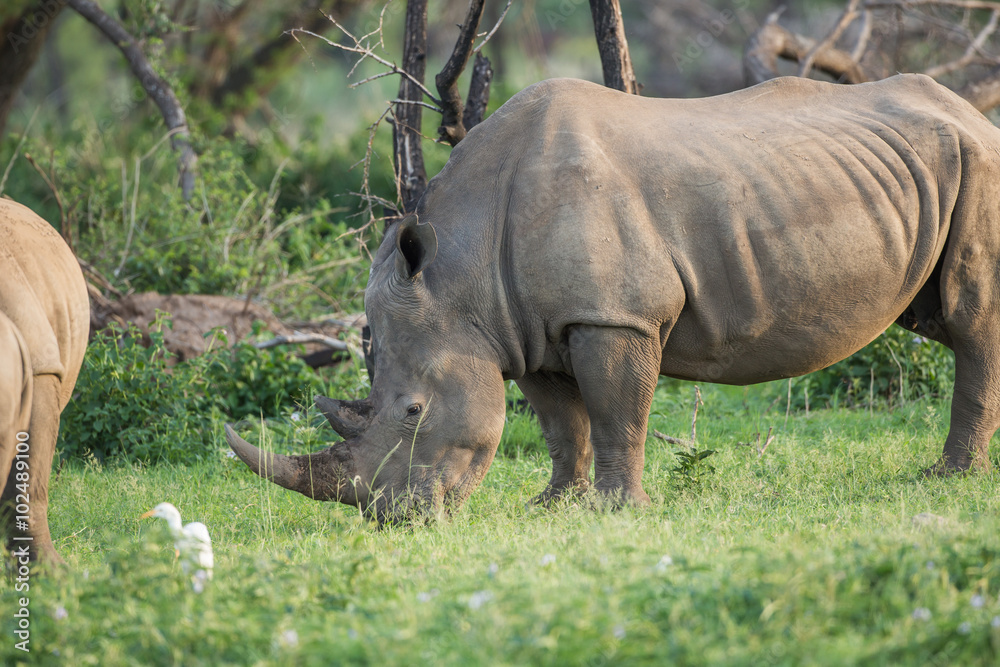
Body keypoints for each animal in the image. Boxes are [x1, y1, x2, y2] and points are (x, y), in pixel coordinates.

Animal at [227, 73, 1000, 520]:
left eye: (413, 411)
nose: (392, 518)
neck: (459, 274)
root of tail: (971, 110)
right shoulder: (521, 328)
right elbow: (561, 422)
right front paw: (552, 504)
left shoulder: (614, 316)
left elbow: (616, 413)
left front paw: (615, 510)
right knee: (934, 315)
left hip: (980, 161)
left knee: (971, 317)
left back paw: (946, 476)